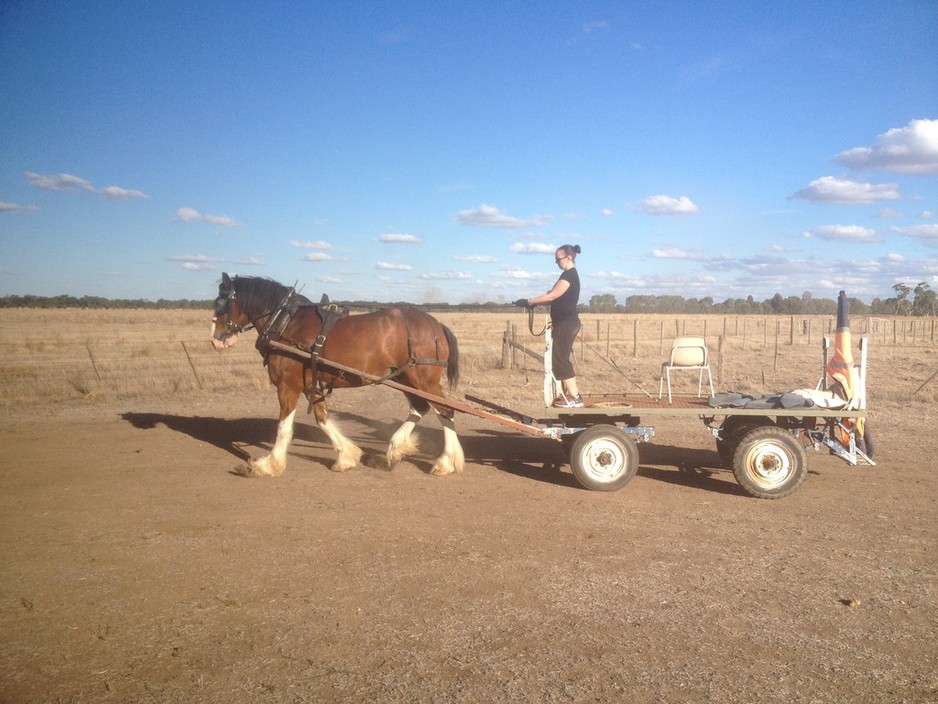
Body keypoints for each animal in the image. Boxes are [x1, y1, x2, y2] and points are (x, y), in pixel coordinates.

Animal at [209, 272, 464, 476]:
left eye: (221, 300)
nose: (214, 339)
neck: (285, 322)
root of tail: (436, 324)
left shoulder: (288, 384)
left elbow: (284, 427)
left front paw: (269, 465)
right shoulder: (310, 384)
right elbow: (322, 418)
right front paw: (347, 456)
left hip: (423, 379)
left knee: (445, 411)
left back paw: (446, 462)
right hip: (406, 378)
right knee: (420, 408)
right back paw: (396, 450)